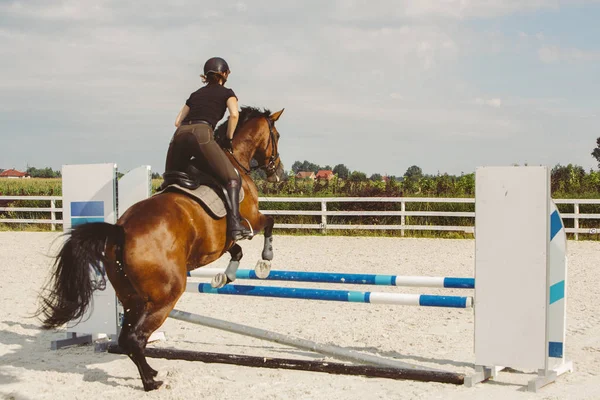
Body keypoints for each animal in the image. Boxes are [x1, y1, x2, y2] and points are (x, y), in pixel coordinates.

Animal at [37, 105, 286, 390]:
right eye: (277, 135)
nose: (280, 173)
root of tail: (121, 230)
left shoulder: (220, 243)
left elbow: (236, 251)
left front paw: (225, 277)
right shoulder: (251, 220)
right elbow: (269, 223)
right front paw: (265, 261)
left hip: (131, 297)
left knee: (128, 338)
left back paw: (149, 373)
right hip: (166, 295)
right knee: (136, 337)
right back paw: (151, 380)